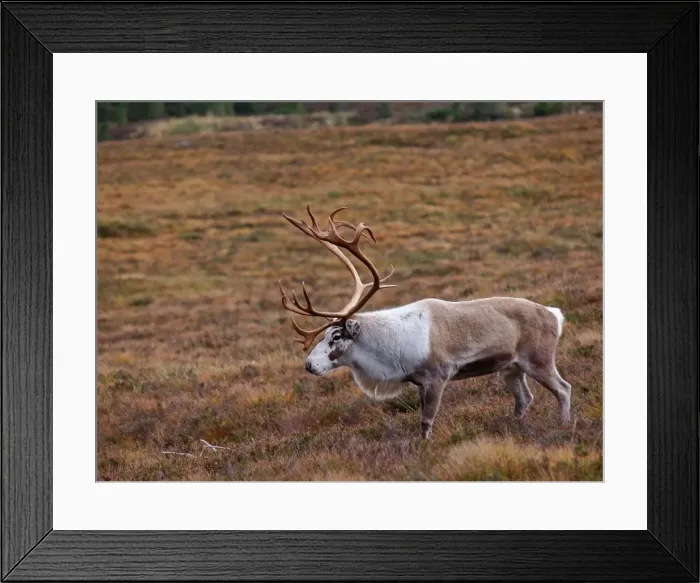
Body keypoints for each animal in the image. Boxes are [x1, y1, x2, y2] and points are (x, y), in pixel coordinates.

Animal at [278, 205, 571, 440]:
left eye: (336, 336)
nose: (308, 364)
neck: (391, 344)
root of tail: (554, 314)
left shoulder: (436, 377)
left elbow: (426, 421)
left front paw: (423, 448)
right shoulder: (418, 382)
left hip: (538, 360)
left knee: (563, 389)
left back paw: (565, 427)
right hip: (511, 368)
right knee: (524, 399)